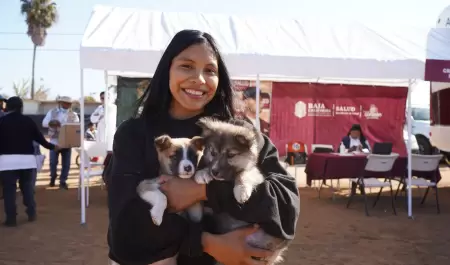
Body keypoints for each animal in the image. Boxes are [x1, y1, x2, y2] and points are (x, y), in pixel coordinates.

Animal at [195, 117, 290, 264]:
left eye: (231, 155)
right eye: (213, 153)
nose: (215, 172)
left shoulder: (256, 174)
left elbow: (243, 173)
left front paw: (241, 191)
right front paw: (202, 173)